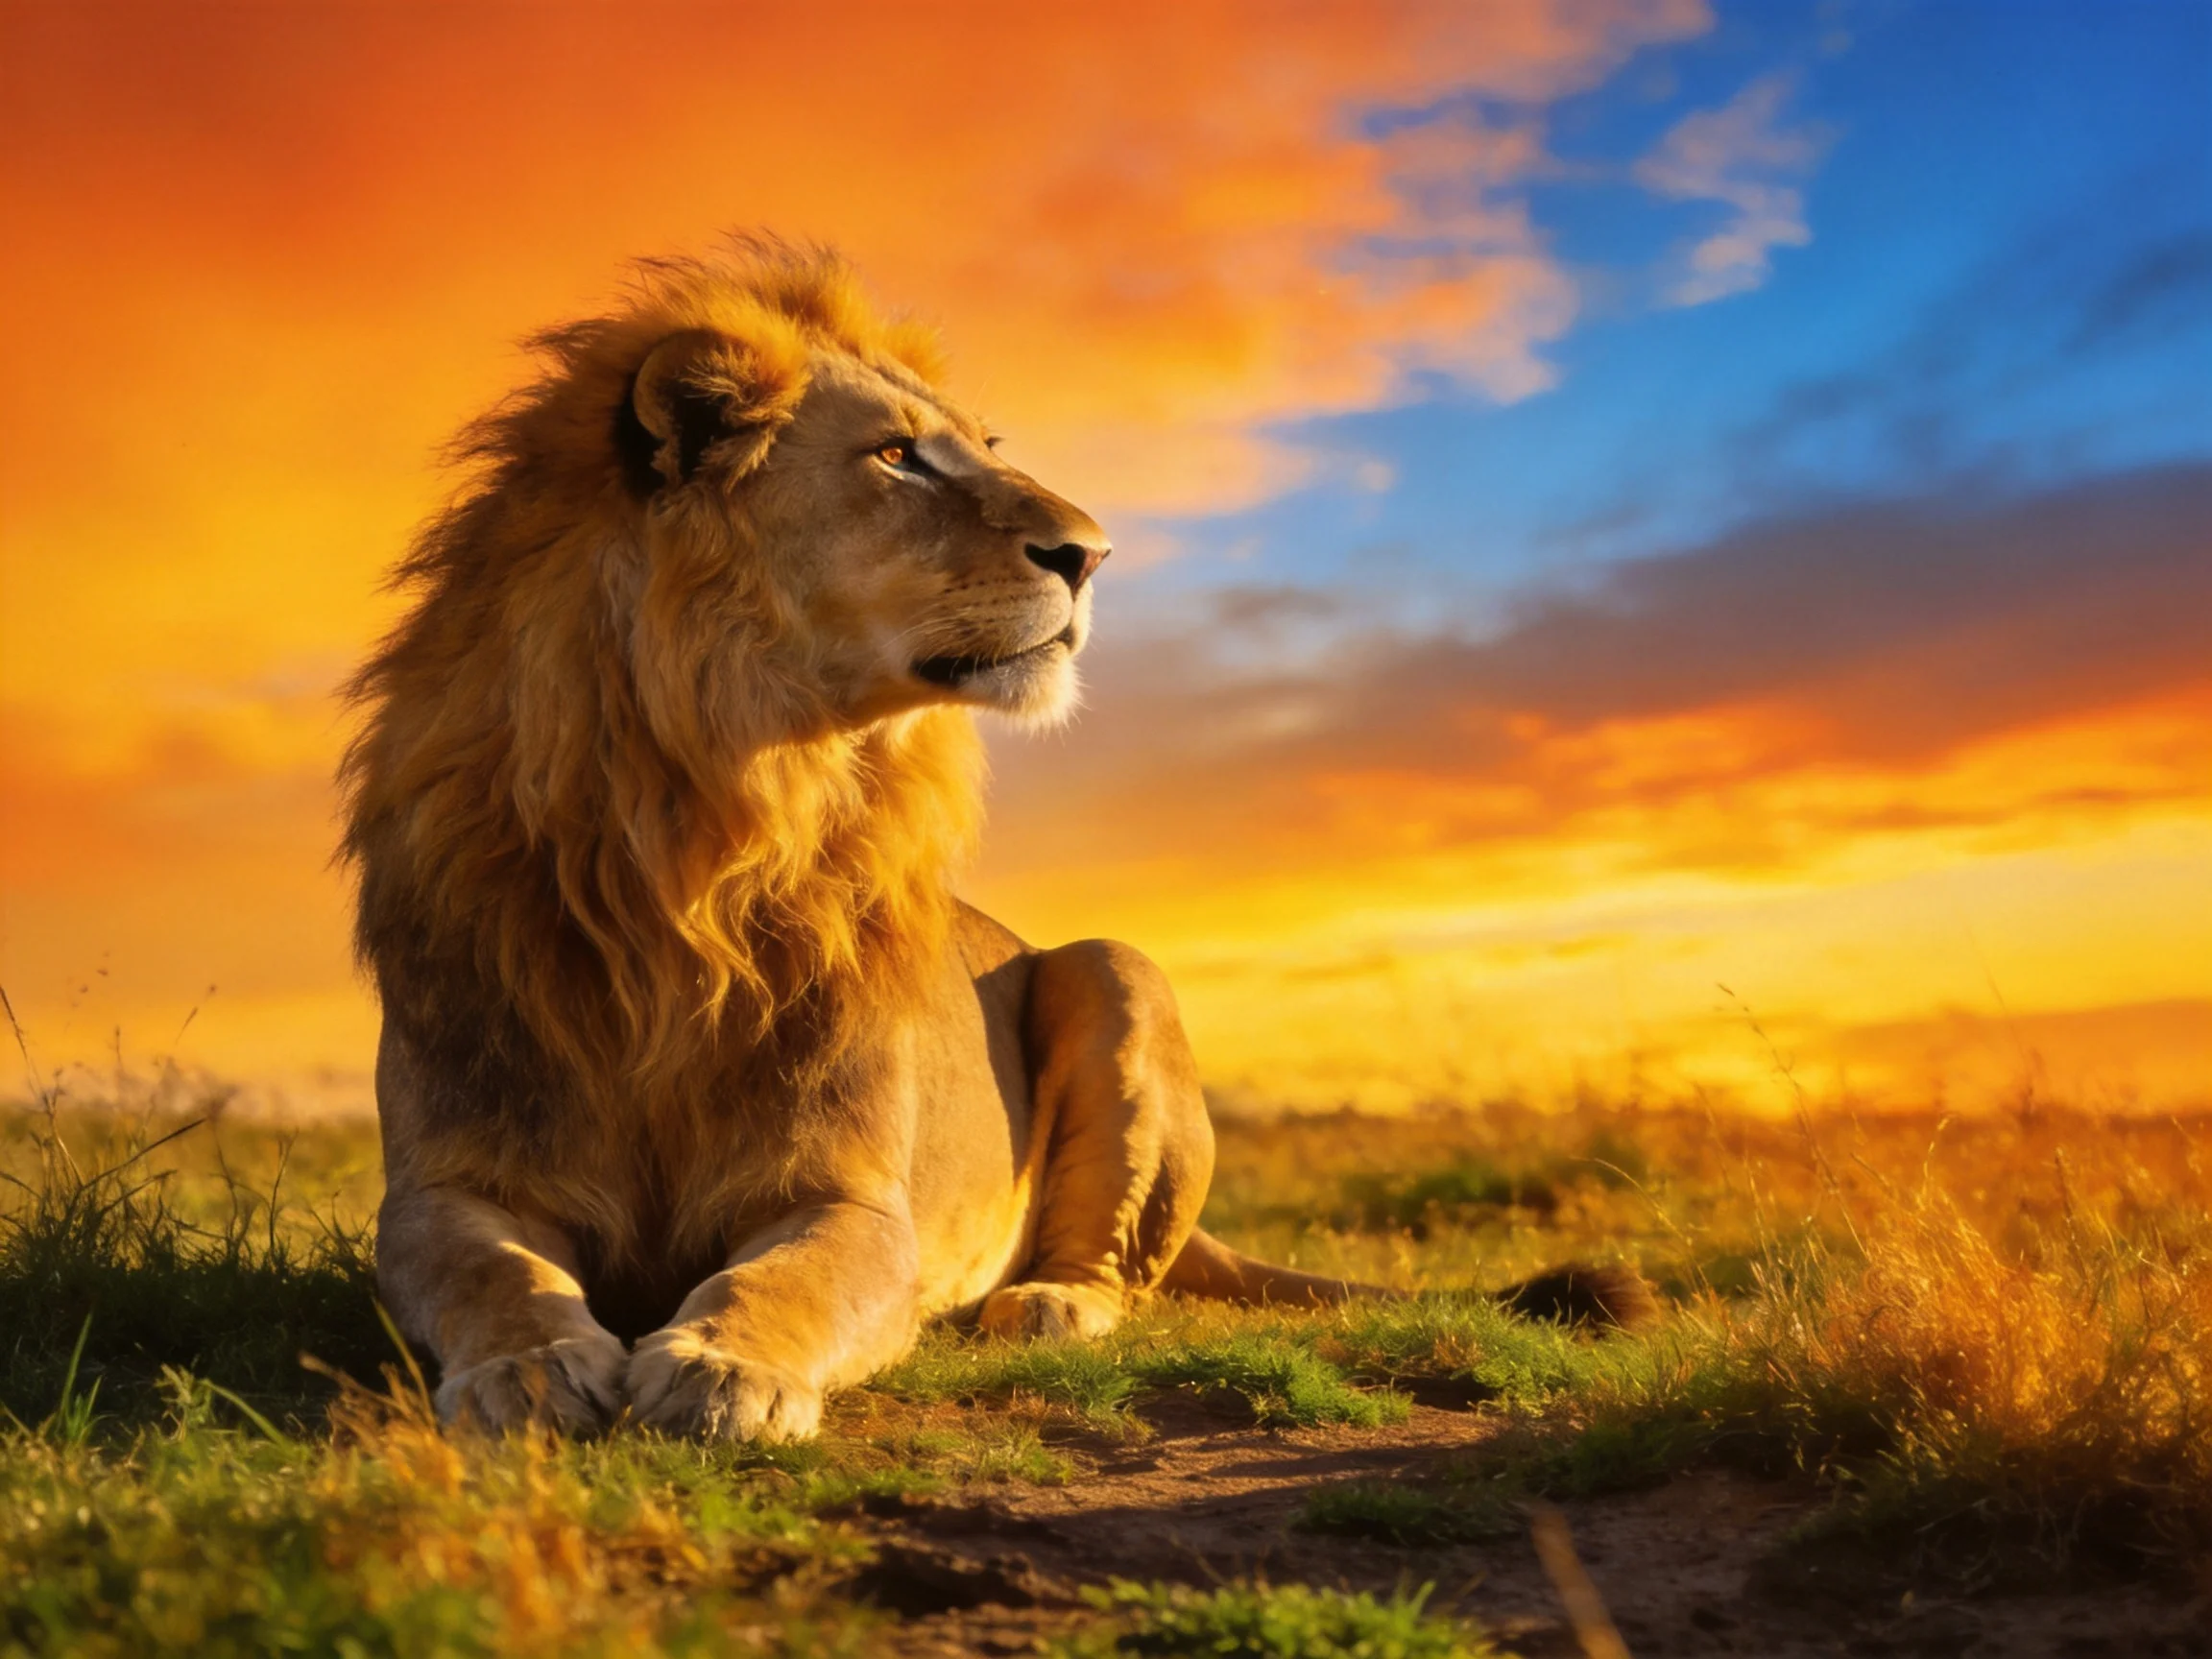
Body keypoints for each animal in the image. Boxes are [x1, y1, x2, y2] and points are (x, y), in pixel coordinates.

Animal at [341, 239, 1647, 1441]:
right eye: (894, 455)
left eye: (984, 445)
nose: (1094, 551)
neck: (705, 837)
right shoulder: (445, 1183)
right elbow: (495, 1270)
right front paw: (526, 1370)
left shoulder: (858, 1203)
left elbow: (788, 1281)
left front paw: (722, 1368)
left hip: (1115, 968)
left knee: (1120, 1267)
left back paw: (1040, 1307)